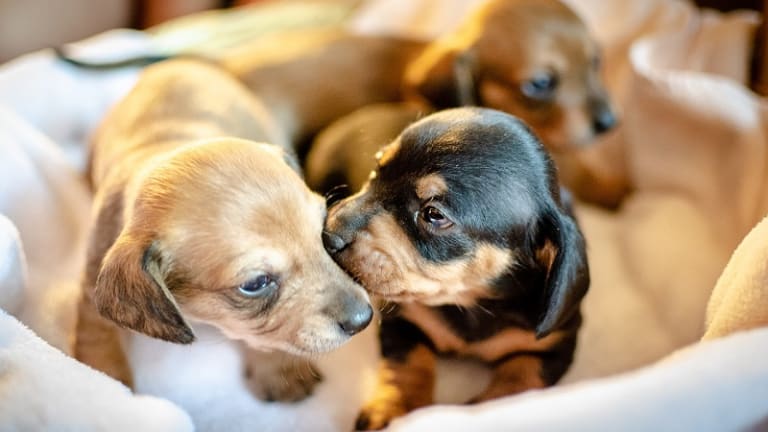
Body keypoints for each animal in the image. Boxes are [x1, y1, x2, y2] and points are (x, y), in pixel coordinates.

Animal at [75, 58, 372, 402]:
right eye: (255, 284)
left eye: (323, 231)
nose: (364, 319)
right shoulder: (90, 289)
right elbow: (97, 342)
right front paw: (106, 388)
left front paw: (279, 370)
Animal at [320, 107, 592, 428]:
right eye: (376, 171)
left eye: (433, 214)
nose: (328, 234)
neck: (472, 303)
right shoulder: (404, 320)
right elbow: (408, 364)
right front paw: (392, 410)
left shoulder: (555, 345)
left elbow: (522, 379)